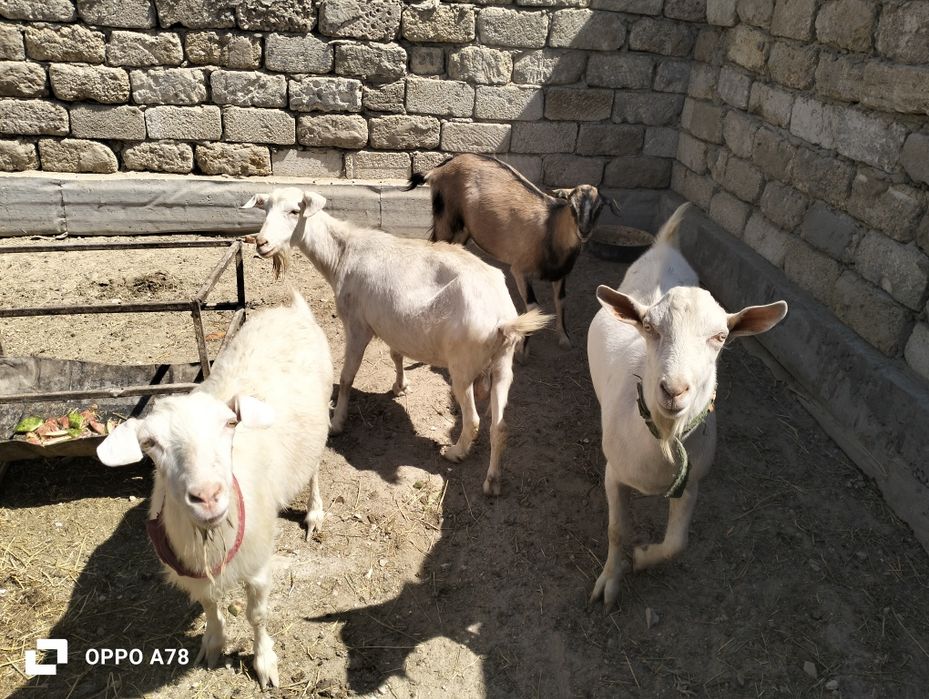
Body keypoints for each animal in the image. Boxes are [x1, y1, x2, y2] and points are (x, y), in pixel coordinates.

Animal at [96, 291, 333, 688]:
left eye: (229, 424)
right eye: (151, 443)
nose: (207, 496)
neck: (211, 538)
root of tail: (290, 309)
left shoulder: (258, 564)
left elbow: (257, 615)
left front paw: (264, 662)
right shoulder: (192, 572)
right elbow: (208, 604)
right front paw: (213, 642)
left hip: (320, 424)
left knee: (314, 468)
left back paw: (314, 514)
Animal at [242, 187, 550, 496]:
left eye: (295, 211)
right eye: (264, 208)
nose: (262, 243)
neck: (343, 254)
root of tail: (502, 319)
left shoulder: (357, 325)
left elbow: (347, 377)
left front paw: (338, 421)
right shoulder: (392, 323)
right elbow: (396, 356)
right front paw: (400, 386)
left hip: (462, 365)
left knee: (473, 419)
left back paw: (455, 453)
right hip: (502, 364)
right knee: (500, 426)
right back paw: (492, 481)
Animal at [406, 153, 620, 351]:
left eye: (599, 208)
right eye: (572, 206)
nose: (584, 231)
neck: (550, 228)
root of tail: (437, 170)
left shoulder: (560, 274)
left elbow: (561, 301)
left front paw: (564, 339)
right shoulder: (520, 270)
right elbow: (534, 307)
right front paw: (522, 350)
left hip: (464, 229)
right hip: (446, 218)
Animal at [587, 203, 788, 610]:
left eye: (720, 336)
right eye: (649, 327)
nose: (673, 389)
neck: (665, 438)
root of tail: (664, 244)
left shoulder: (692, 482)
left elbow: (677, 545)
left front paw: (643, 557)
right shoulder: (614, 473)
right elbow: (617, 530)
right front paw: (610, 582)